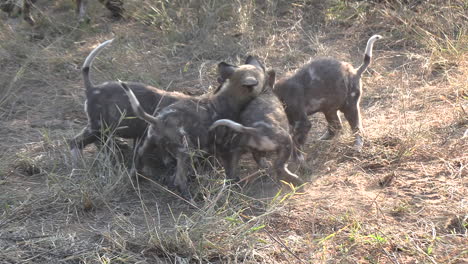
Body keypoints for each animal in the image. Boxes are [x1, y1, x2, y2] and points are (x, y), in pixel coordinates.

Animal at [119, 56, 268, 199]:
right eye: (262, 76)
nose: (262, 65)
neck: (229, 97)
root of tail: (158, 120)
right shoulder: (227, 149)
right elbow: (231, 172)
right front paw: (234, 184)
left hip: (147, 145)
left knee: (137, 162)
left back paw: (135, 180)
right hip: (186, 152)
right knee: (179, 180)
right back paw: (189, 197)